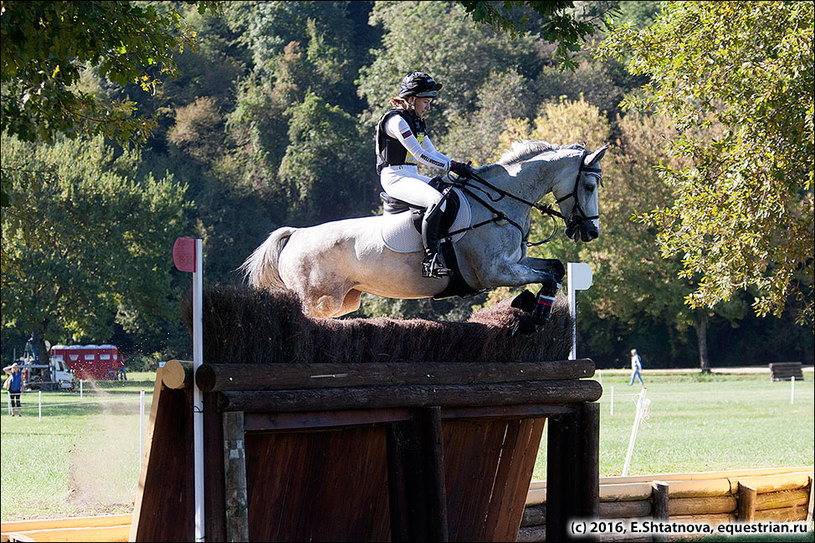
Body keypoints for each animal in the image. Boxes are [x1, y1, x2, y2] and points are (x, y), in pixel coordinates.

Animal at [242, 141, 604, 318]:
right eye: (588, 185)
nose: (591, 233)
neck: (499, 201)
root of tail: (295, 235)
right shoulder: (494, 272)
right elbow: (547, 277)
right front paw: (534, 316)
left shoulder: (514, 263)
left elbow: (554, 269)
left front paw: (529, 307)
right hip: (318, 300)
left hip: (344, 300)